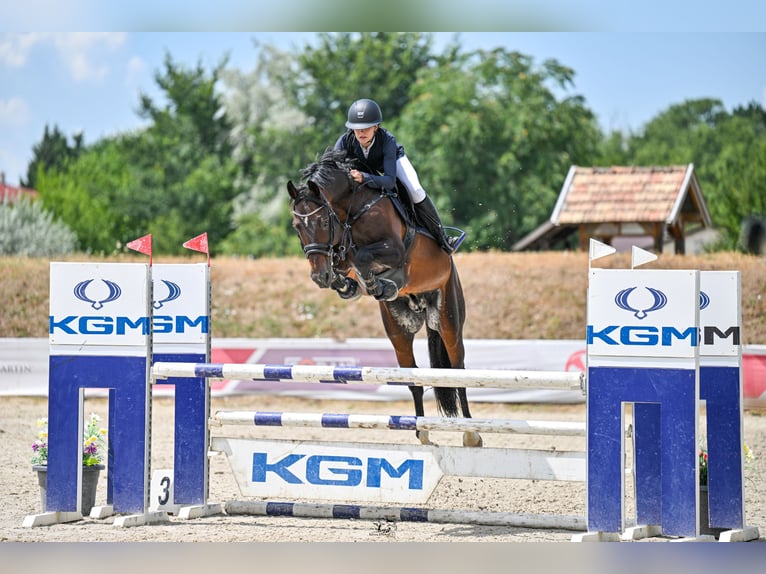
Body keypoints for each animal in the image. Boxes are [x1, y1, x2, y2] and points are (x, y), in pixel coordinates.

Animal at [287, 149, 481, 447]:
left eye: (322, 221)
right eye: (297, 225)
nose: (319, 276)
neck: (352, 211)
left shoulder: (395, 249)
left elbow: (362, 257)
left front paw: (372, 281)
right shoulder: (341, 251)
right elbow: (347, 259)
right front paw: (348, 285)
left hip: (448, 318)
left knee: (457, 371)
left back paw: (471, 433)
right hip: (399, 332)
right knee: (413, 379)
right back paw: (423, 434)